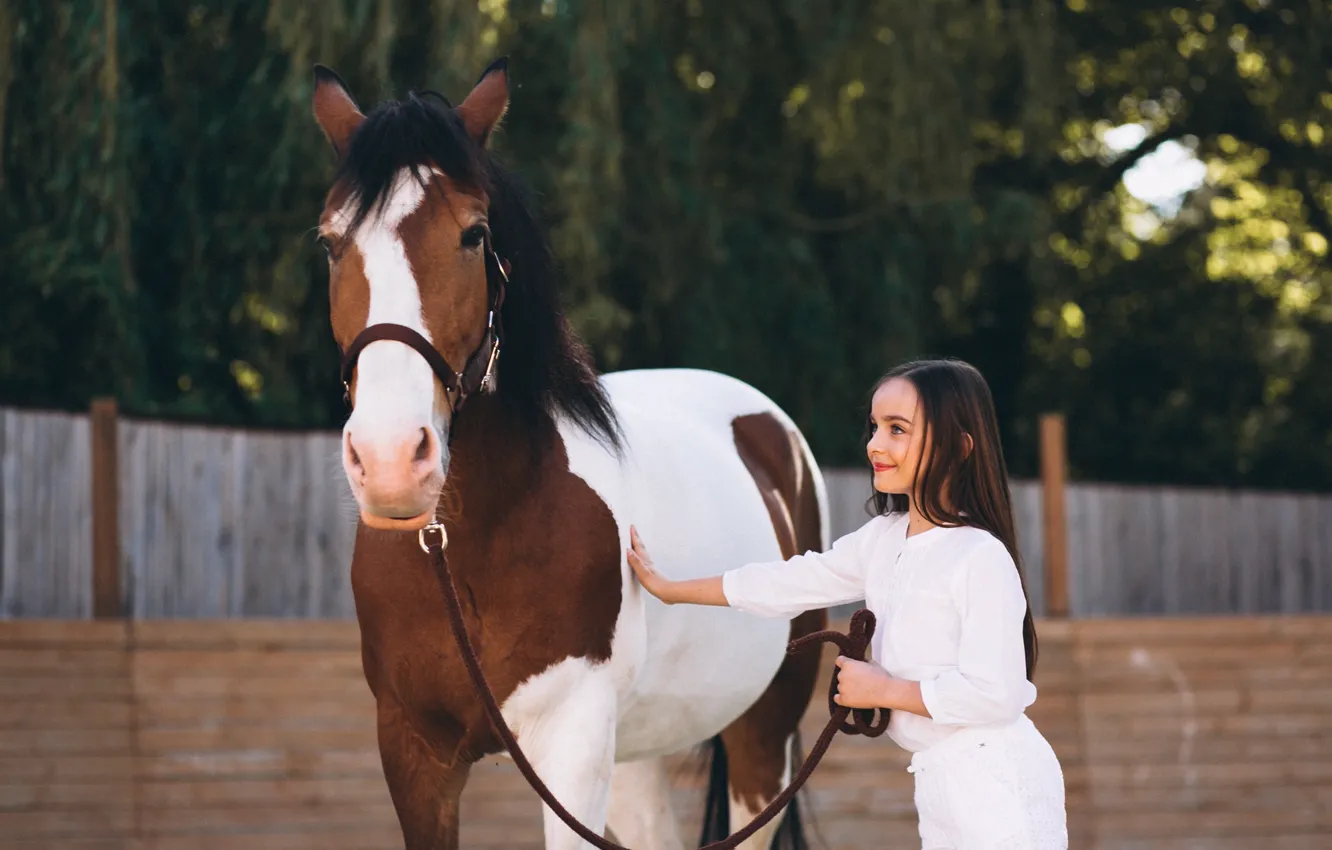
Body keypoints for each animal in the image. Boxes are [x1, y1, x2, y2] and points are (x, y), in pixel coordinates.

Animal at [310, 57, 831, 850]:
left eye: (473, 234)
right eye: (332, 242)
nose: (393, 459)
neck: (471, 549)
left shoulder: (571, 746)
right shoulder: (413, 752)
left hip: (761, 738)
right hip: (640, 754)